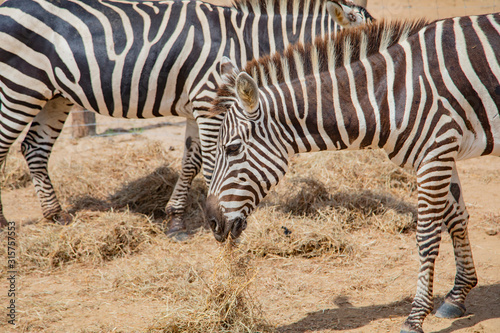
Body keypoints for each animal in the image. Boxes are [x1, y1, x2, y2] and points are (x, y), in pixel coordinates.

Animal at [0, 0, 372, 233]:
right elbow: (209, 160)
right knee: (6, 146)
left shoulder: (201, 106)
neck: (249, 42)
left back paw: (55, 215)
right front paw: (211, 218)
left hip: (55, 94)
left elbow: (192, 160)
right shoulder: (209, 100)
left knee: (34, 148)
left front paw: (176, 218)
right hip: (19, 84)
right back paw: (5, 224)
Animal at [204, 13, 500, 332]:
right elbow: (457, 219)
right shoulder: (440, 153)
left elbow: (428, 237)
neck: (389, 93)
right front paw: (458, 296)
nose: (211, 222)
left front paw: (415, 317)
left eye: (232, 148)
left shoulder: (436, 150)